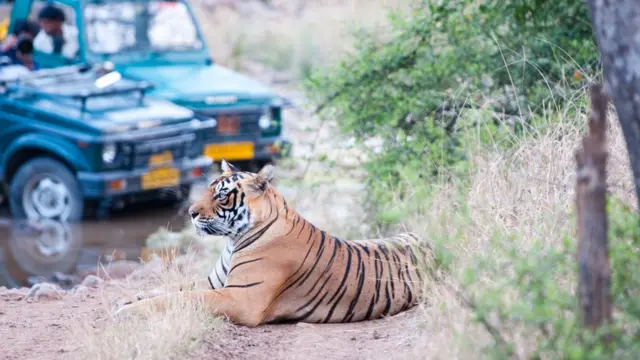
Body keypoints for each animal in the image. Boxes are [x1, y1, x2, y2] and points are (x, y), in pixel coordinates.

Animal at [115, 160, 436, 326]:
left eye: (221, 195)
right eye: (207, 189)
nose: (191, 213)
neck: (233, 241)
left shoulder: (239, 298)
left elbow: (180, 297)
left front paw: (127, 311)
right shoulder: (214, 283)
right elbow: (169, 288)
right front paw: (126, 299)